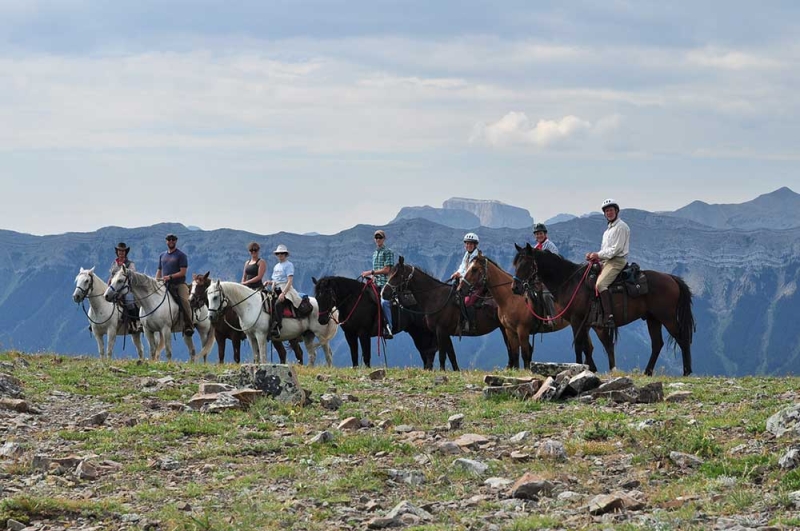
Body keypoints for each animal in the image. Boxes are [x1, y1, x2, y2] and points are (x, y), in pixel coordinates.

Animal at [206, 278, 338, 366]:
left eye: (215, 297)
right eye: (207, 298)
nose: (211, 316)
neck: (250, 306)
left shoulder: (260, 335)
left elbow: (263, 356)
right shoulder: (250, 336)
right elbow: (256, 356)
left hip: (321, 335)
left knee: (328, 355)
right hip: (308, 335)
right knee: (312, 355)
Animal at [382, 256, 512, 372]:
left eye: (396, 275)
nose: (384, 293)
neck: (435, 297)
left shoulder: (441, 331)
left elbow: (442, 356)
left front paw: (442, 371)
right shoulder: (445, 333)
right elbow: (451, 354)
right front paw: (456, 371)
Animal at [460, 252, 592, 370]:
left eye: (474, 269)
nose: (461, 288)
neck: (510, 299)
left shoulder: (523, 330)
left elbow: (525, 354)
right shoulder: (510, 331)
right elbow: (515, 354)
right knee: (589, 347)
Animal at [512, 243, 692, 376]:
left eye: (526, 264)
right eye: (516, 264)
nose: (515, 288)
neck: (570, 282)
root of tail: (671, 278)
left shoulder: (577, 320)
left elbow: (579, 345)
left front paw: (578, 368)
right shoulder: (585, 323)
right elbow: (587, 346)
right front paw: (590, 368)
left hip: (667, 317)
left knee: (682, 339)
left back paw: (686, 371)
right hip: (653, 319)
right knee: (657, 344)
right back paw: (647, 372)